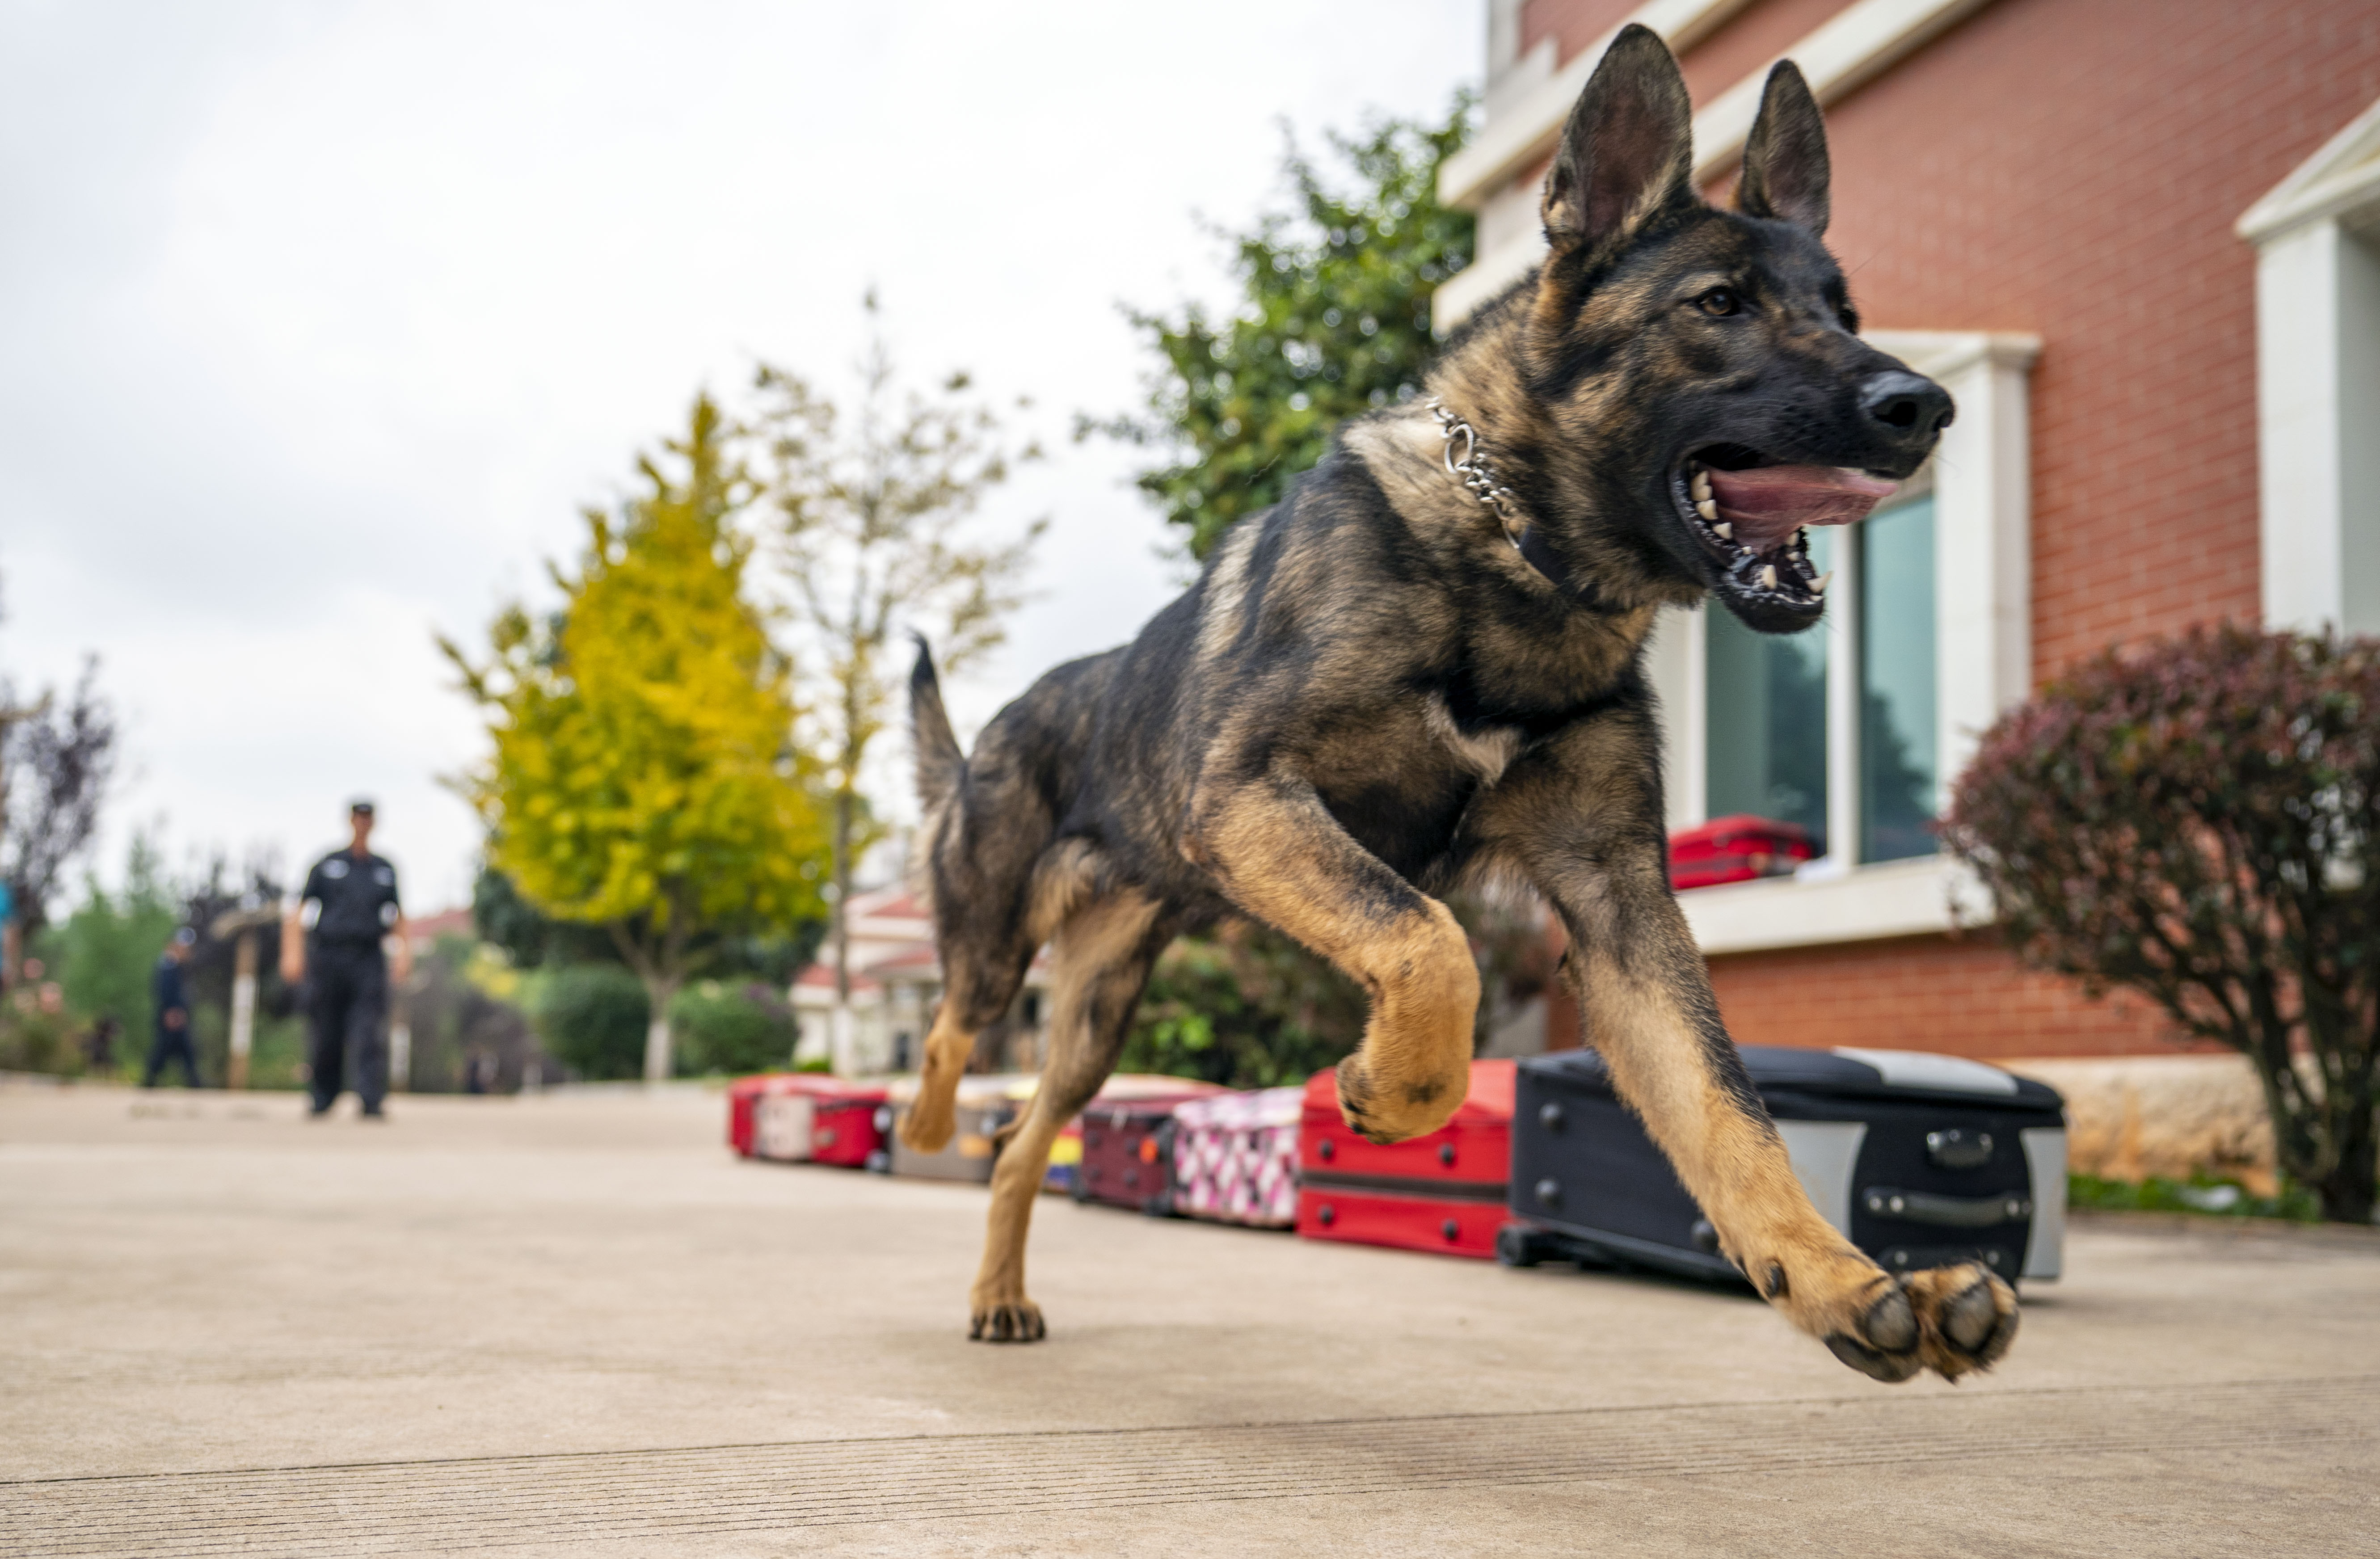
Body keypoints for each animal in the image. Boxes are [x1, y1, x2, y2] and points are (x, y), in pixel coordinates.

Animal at [899, 24, 2018, 1380]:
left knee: (1024, 1138)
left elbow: (1728, 1112)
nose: (1920, 407)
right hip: (996, 951)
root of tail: (990, 740)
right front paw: (1399, 1090)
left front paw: (1838, 1280)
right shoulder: (1255, 799)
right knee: (952, 1041)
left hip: (1097, 1016)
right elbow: (1429, 941)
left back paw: (999, 1287)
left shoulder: (1618, 908)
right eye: (1716, 305)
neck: (1514, 559)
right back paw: (924, 1122)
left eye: (1840, 313)